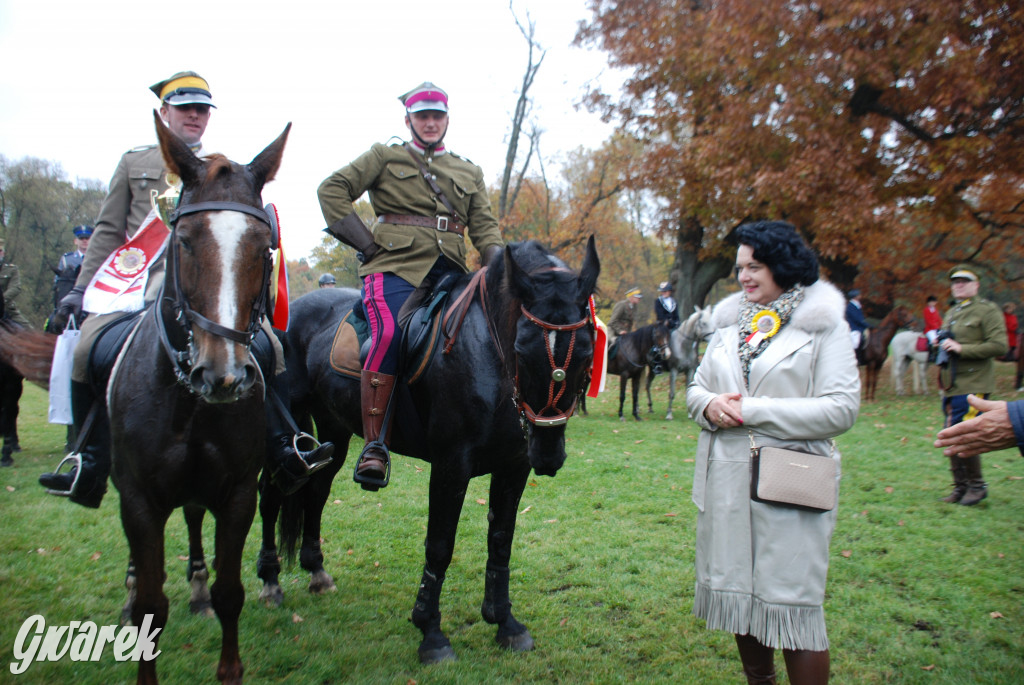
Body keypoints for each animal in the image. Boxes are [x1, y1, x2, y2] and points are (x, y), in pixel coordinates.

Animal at [107, 113, 288, 683]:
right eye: (184, 240)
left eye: (263, 245)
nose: (222, 375)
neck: (190, 406)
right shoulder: (139, 500)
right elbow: (150, 606)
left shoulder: (237, 495)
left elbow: (232, 595)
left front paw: (228, 662)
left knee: (191, 520)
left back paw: (197, 589)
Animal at [274, 236, 598, 663]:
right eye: (523, 349)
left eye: (586, 353)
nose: (547, 455)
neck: (487, 352)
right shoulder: (450, 465)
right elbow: (440, 545)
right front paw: (431, 632)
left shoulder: (513, 466)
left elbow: (501, 541)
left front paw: (505, 622)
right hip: (286, 431)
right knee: (271, 492)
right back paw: (268, 582)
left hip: (333, 432)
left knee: (316, 493)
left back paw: (315, 571)